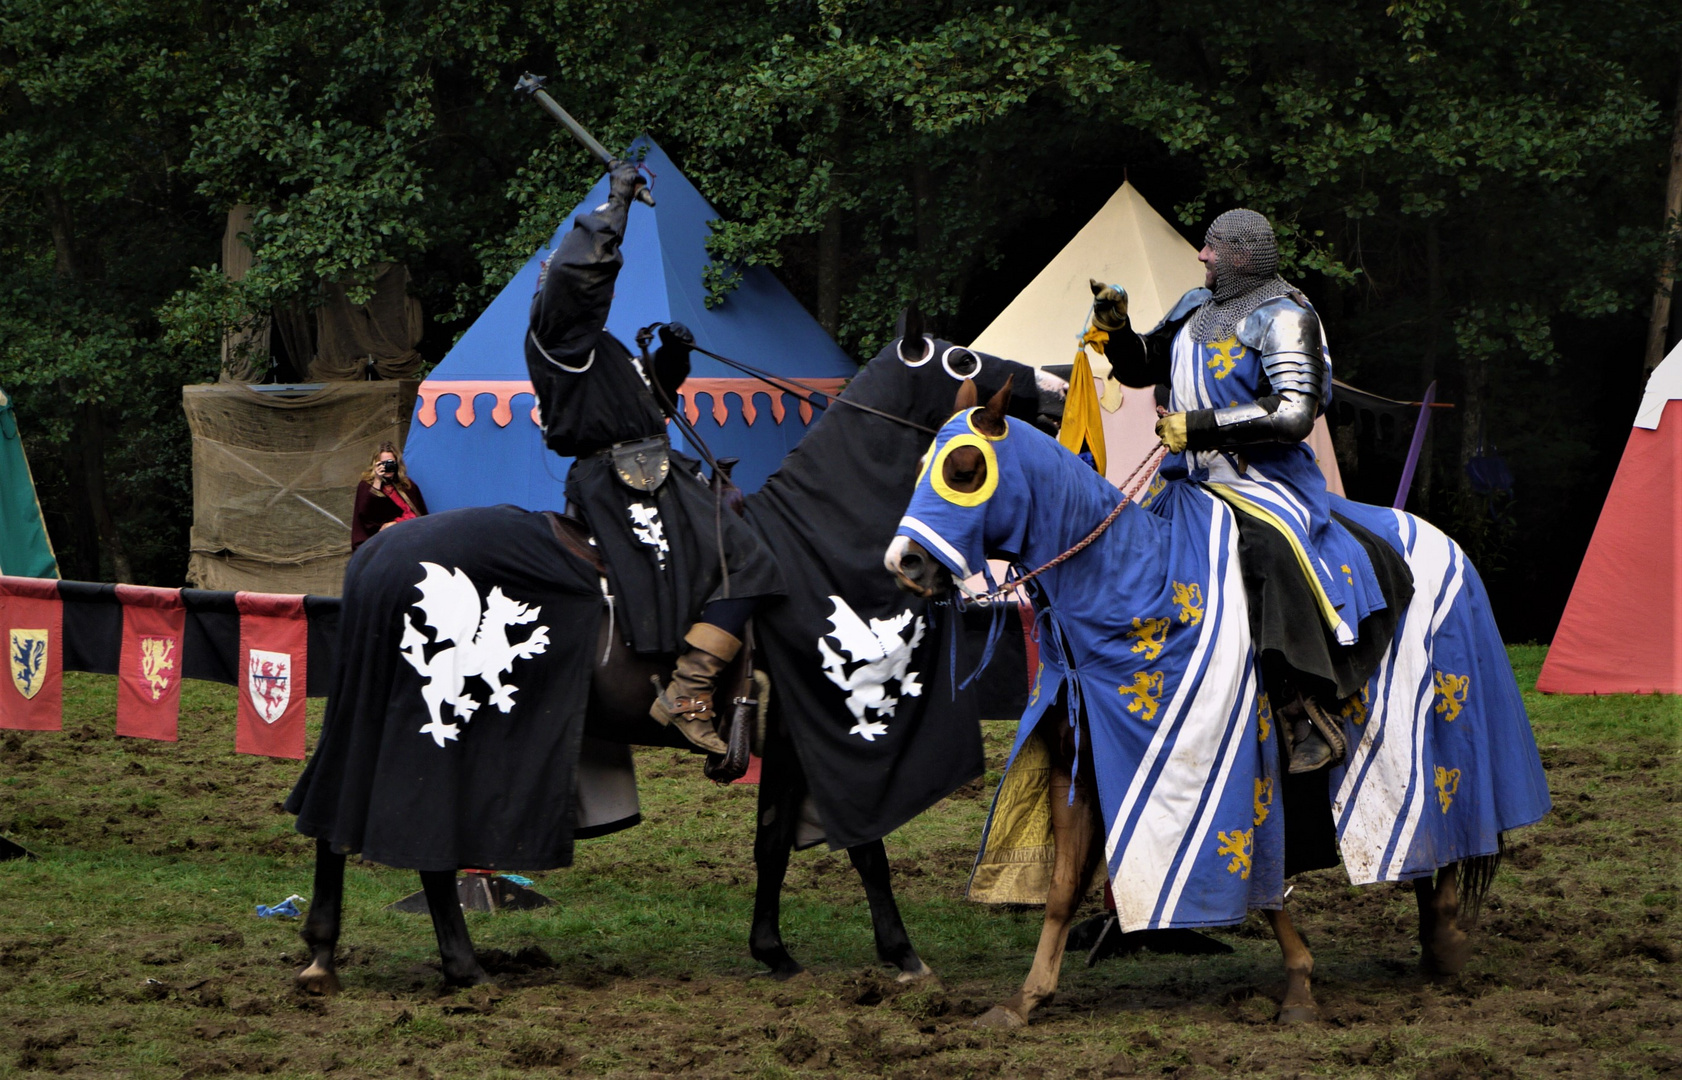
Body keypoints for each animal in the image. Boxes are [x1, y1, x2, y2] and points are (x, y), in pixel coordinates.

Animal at [296, 306, 1042, 989]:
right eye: (962, 359)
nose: (1047, 381)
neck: (817, 541)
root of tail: (379, 553)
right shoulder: (824, 728)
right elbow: (864, 847)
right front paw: (903, 955)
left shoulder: (787, 741)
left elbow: (773, 842)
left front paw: (773, 951)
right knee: (422, 839)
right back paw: (460, 964)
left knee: (336, 816)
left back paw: (325, 955)